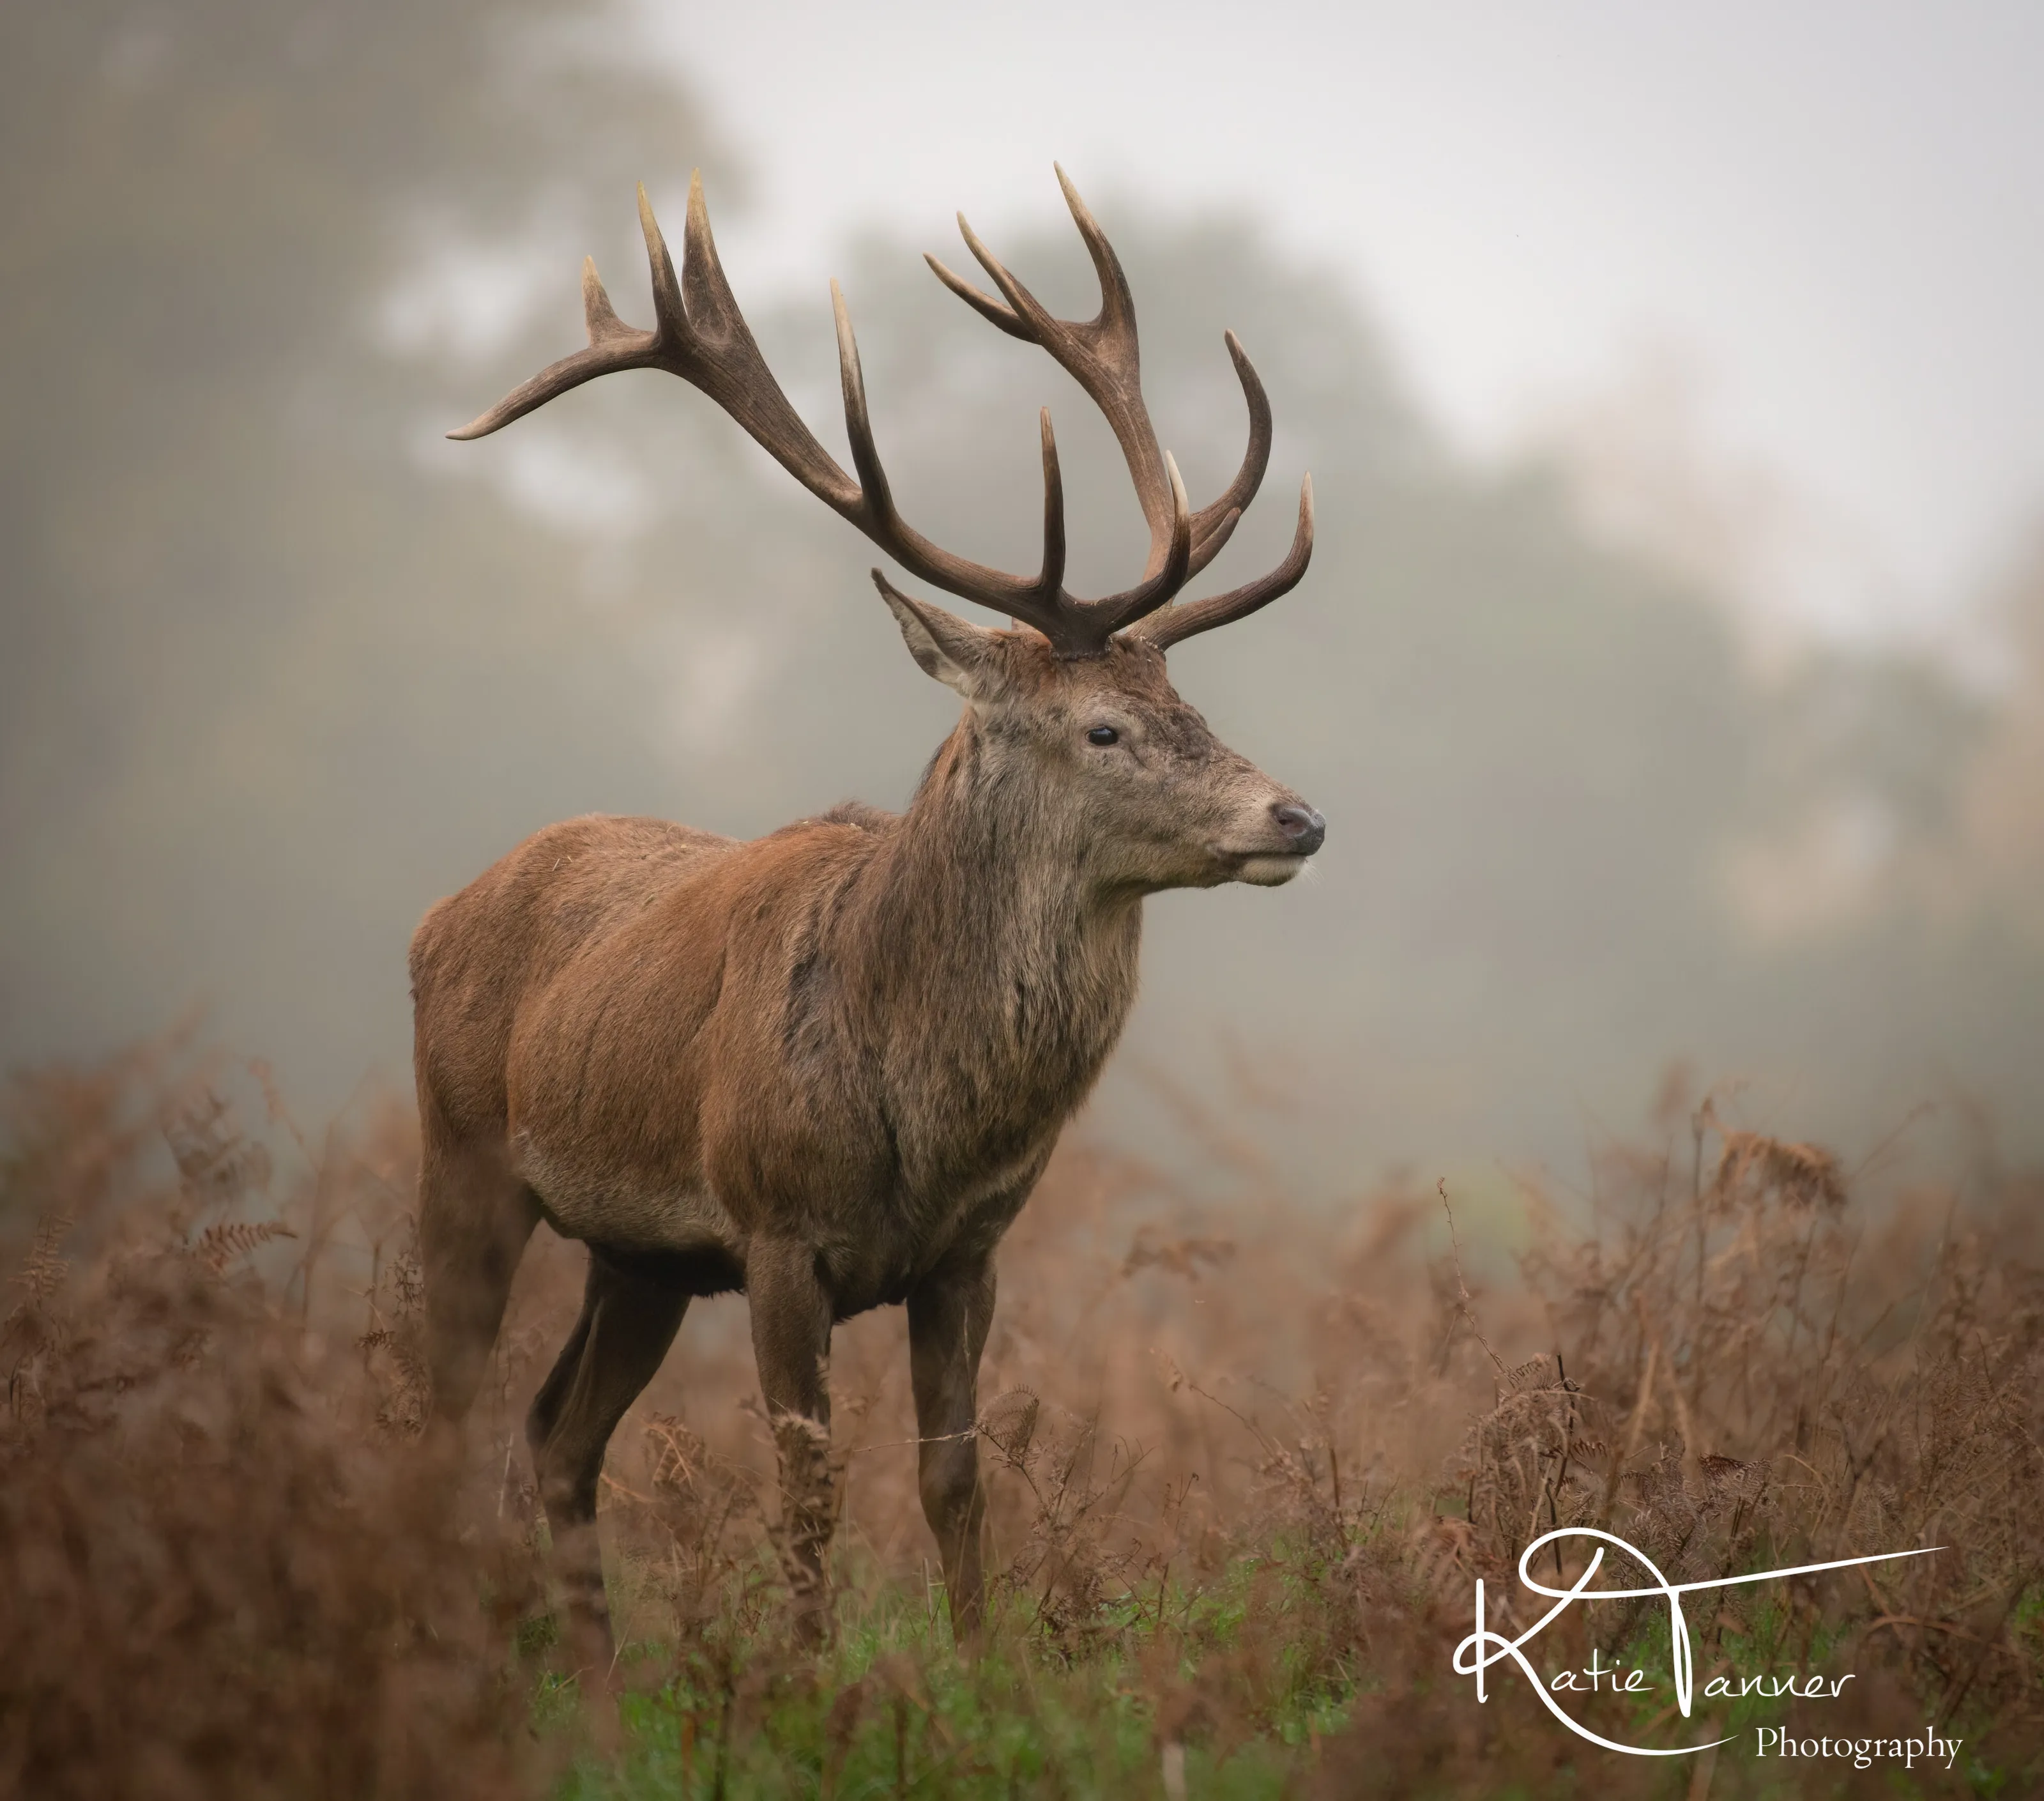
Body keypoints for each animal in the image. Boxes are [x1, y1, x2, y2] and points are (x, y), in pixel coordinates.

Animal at [415, 166, 1322, 1666]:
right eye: (1105, 724)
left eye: (1192, 704)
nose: (1295, 815)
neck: (924, 1115)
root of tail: (440, 909)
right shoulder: (777, 1229)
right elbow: (809, 1479)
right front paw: (807, 1675)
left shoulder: (970, 1253)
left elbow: (952, 1473)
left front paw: (983, 1665)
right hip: (465, 1152)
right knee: (441, 1407)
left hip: (638, 1255)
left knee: (554, 1436)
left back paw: (592, 1675)